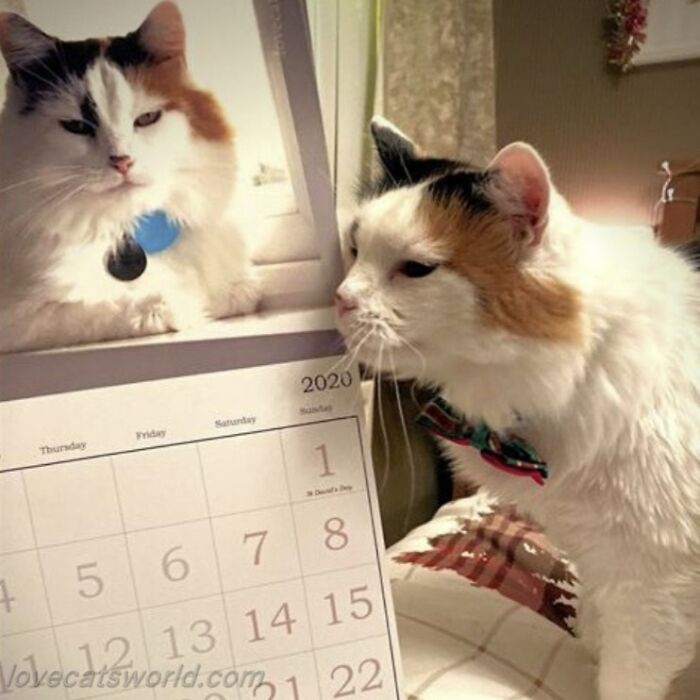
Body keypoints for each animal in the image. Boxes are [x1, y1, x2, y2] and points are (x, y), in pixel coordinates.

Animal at [0, 0, 262, 350]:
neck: (124, 224)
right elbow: (93, 308)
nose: (123, 161)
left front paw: (230, 289)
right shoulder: (20, 318)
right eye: (77, 126)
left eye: (147, 118)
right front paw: (176, 304)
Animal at [334, 117, 700, 696]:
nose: (341, 298)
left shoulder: (655, 590)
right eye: (354, 248)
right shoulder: (602, 562)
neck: (583, 367)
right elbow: (594, 631)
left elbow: (626, 678)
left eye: (416, 269)